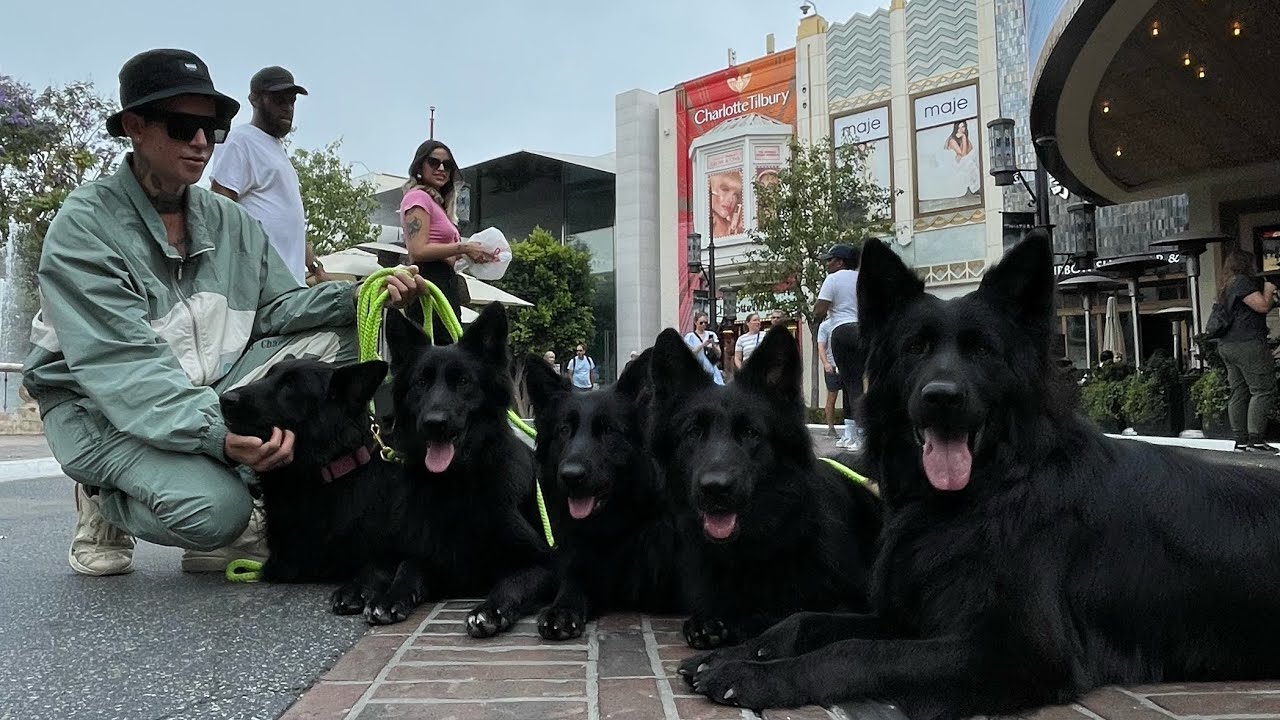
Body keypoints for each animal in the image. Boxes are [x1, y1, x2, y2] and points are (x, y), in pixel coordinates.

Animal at [217, 358, 422, 622]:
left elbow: (377, 564)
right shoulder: (284, 563)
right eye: (268, 375)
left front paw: (357, 588)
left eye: (290, 385)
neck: (328, 473)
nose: (225, 398)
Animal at [381, 299, 558, 635]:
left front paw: (489, 610)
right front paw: (391, 597)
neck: (455, 484)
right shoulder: (433, 556)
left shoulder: (544, 562)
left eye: (462, 382)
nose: (434, 423)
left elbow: (513, 582)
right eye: (420, 383)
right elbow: (407, 567)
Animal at [519, 348, 686, 638]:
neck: (616, 528)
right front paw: (561, 610)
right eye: (564, 430)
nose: (571, 476)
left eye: (608, 430)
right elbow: (572, 583)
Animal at [686, 233, 1280, 712]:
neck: (983, 495)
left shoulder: (1013, 652)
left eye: (982, 351)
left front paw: (754, 674)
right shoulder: (911, 615)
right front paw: (741, 649)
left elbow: (854, 651)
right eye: (916, 347)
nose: (941, 398)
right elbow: (806, 620)